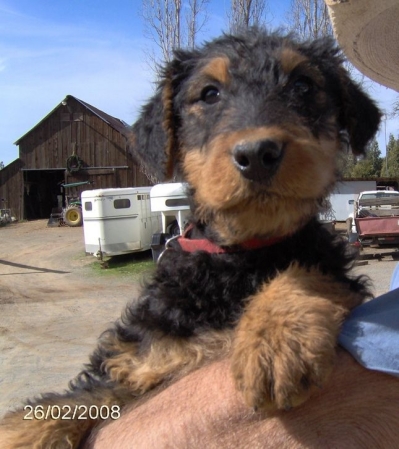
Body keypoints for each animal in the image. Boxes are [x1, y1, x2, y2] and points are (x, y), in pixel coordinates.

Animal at [0, 28, 382, 448]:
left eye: (303, 85)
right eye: (209, 93)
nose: (257, 153)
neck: (237, 257)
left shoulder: (329, 268)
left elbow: (308, 272)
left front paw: (274, 343)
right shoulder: (139, 359)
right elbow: (65, 405)